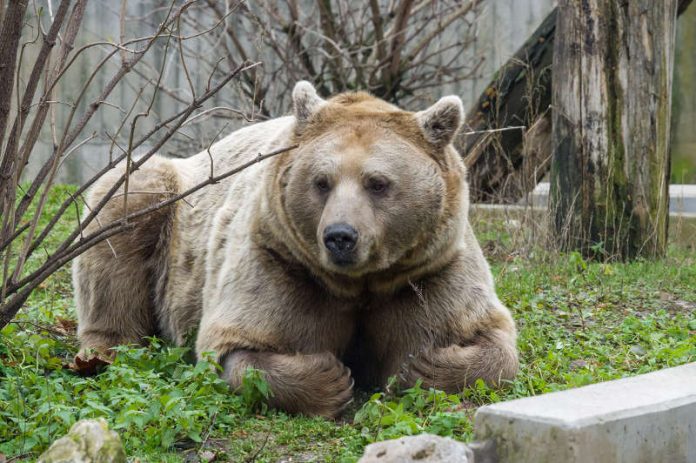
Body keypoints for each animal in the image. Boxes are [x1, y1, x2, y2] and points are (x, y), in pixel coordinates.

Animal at [73, 81, 516, 418]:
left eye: (377, 183)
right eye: (322, 181)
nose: (340, 235)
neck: (361, 282)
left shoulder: (428, 270)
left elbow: (490, 341)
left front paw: (418, 367)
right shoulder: (281, 262)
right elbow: (240, 345)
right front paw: (332, 377)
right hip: (169, 202)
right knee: (124, 209)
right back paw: (102, 352)